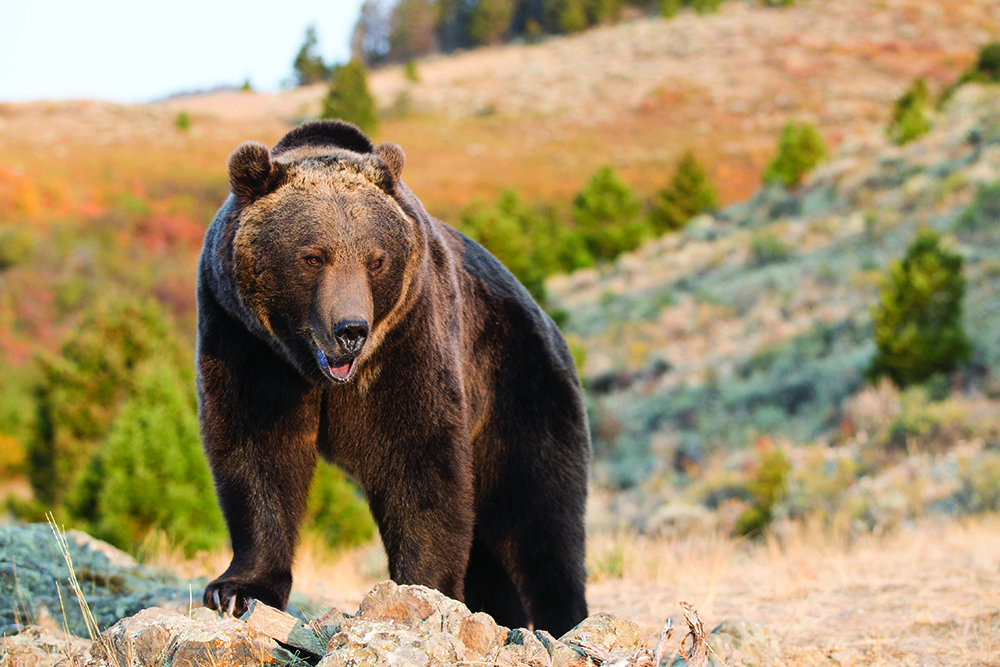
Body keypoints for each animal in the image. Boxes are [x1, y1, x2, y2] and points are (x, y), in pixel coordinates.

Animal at [198, 120, 588, 636]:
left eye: (375, 259)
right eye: (313, 257)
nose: (351, 330)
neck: (315, 372)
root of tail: (552, 326)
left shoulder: (408, 336)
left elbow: (418, 457)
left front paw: (423, 592)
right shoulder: (245, 340)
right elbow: (257, 448)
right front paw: (237, 590)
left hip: (518, 390)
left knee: (539, 517)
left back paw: (562, 620)